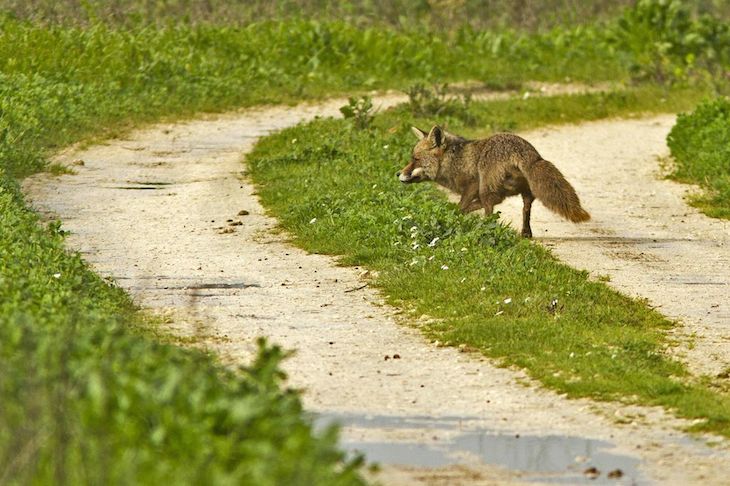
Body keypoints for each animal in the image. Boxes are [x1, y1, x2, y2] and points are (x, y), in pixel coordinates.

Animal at [396, 125, 588, 237]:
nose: (398, 173)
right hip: (524, 192)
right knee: (525, 210)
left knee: (490, 214)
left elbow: (461, 207)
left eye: (415, 159)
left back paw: (485, 231)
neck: (455, 160)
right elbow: (465, 208)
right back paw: (525, 233)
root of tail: (523, 150)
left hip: (486, 189)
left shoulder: (473, 185)